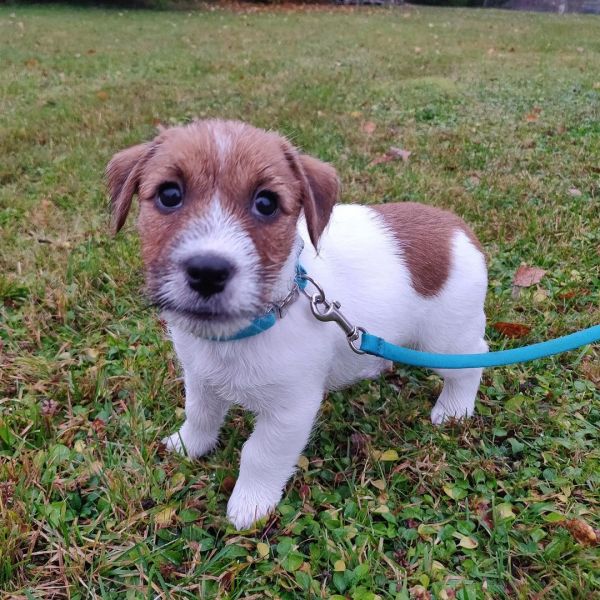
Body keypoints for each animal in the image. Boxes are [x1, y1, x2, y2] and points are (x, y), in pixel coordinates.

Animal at [106, 118, 488, 528]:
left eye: (266, 203)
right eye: (169, 195)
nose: (208, 272)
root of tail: (458, 228)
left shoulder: (291, 410)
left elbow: (259, 454)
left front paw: (250, 504)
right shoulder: (200, 379)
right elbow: (200, 415)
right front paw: (188, 445)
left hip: (444, 341)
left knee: (472, 362)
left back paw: (454, 409)